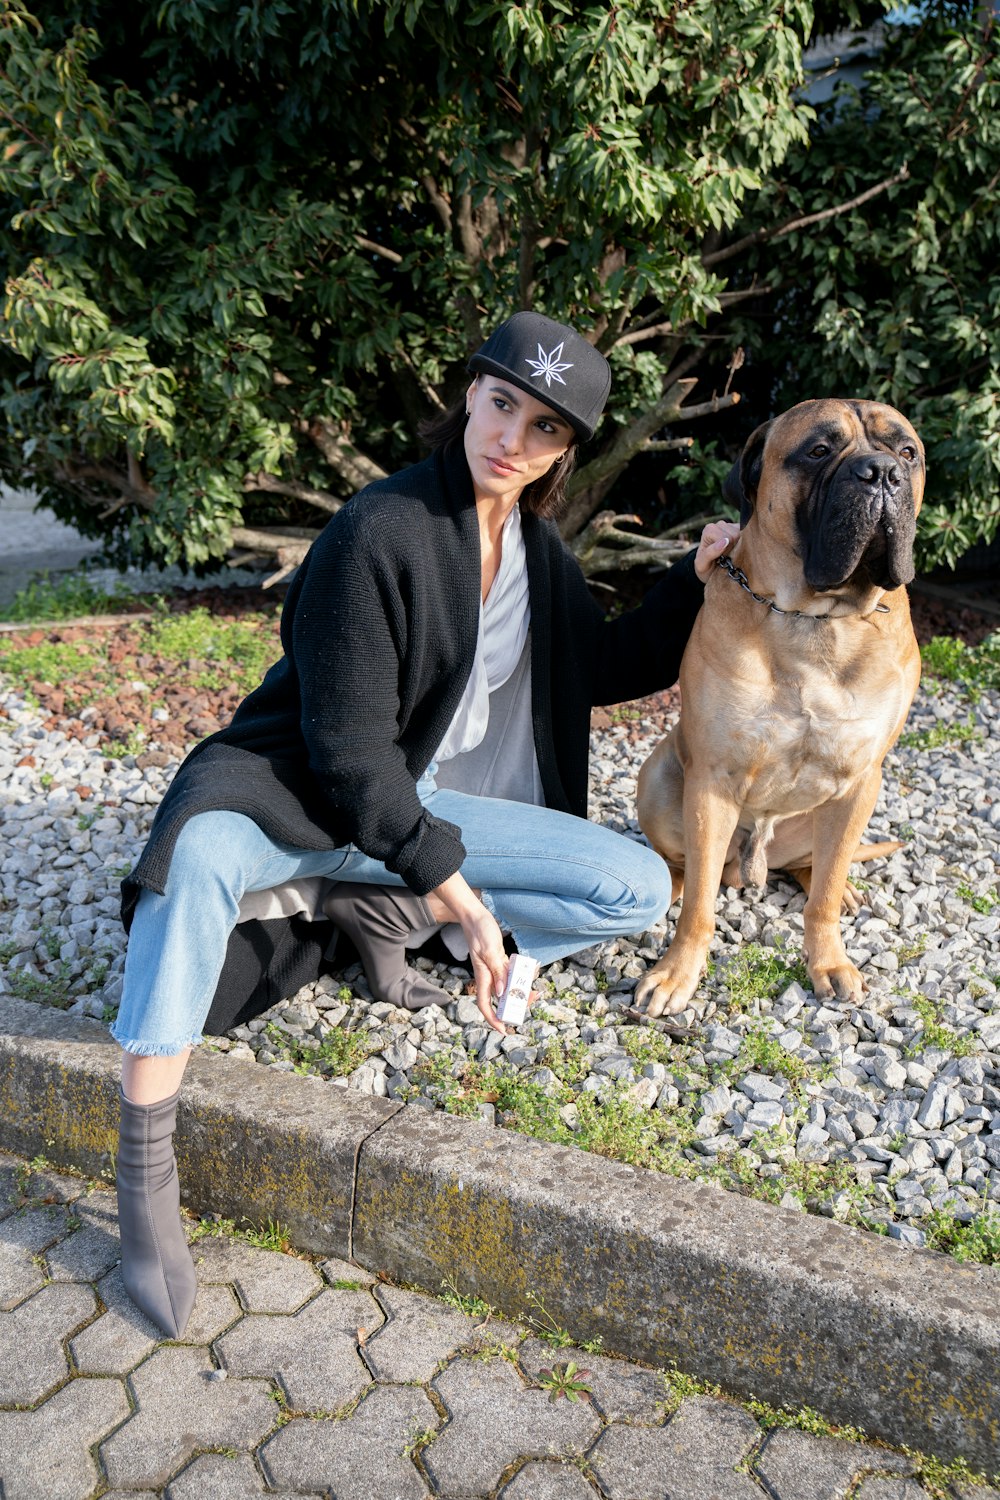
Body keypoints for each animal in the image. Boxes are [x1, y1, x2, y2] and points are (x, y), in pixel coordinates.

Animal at [638, 399, 929, 1014]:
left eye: (907, 452)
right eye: (818, 451)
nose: (882, 473)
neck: (816, 617)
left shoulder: (861, 780)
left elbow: (823, 897)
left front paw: (829, 961)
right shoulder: (713, 781)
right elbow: (699, 909)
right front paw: (677, 974)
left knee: (814, 869)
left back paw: (836, 888)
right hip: (658, 778)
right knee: (690, 871)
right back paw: (673, 883)